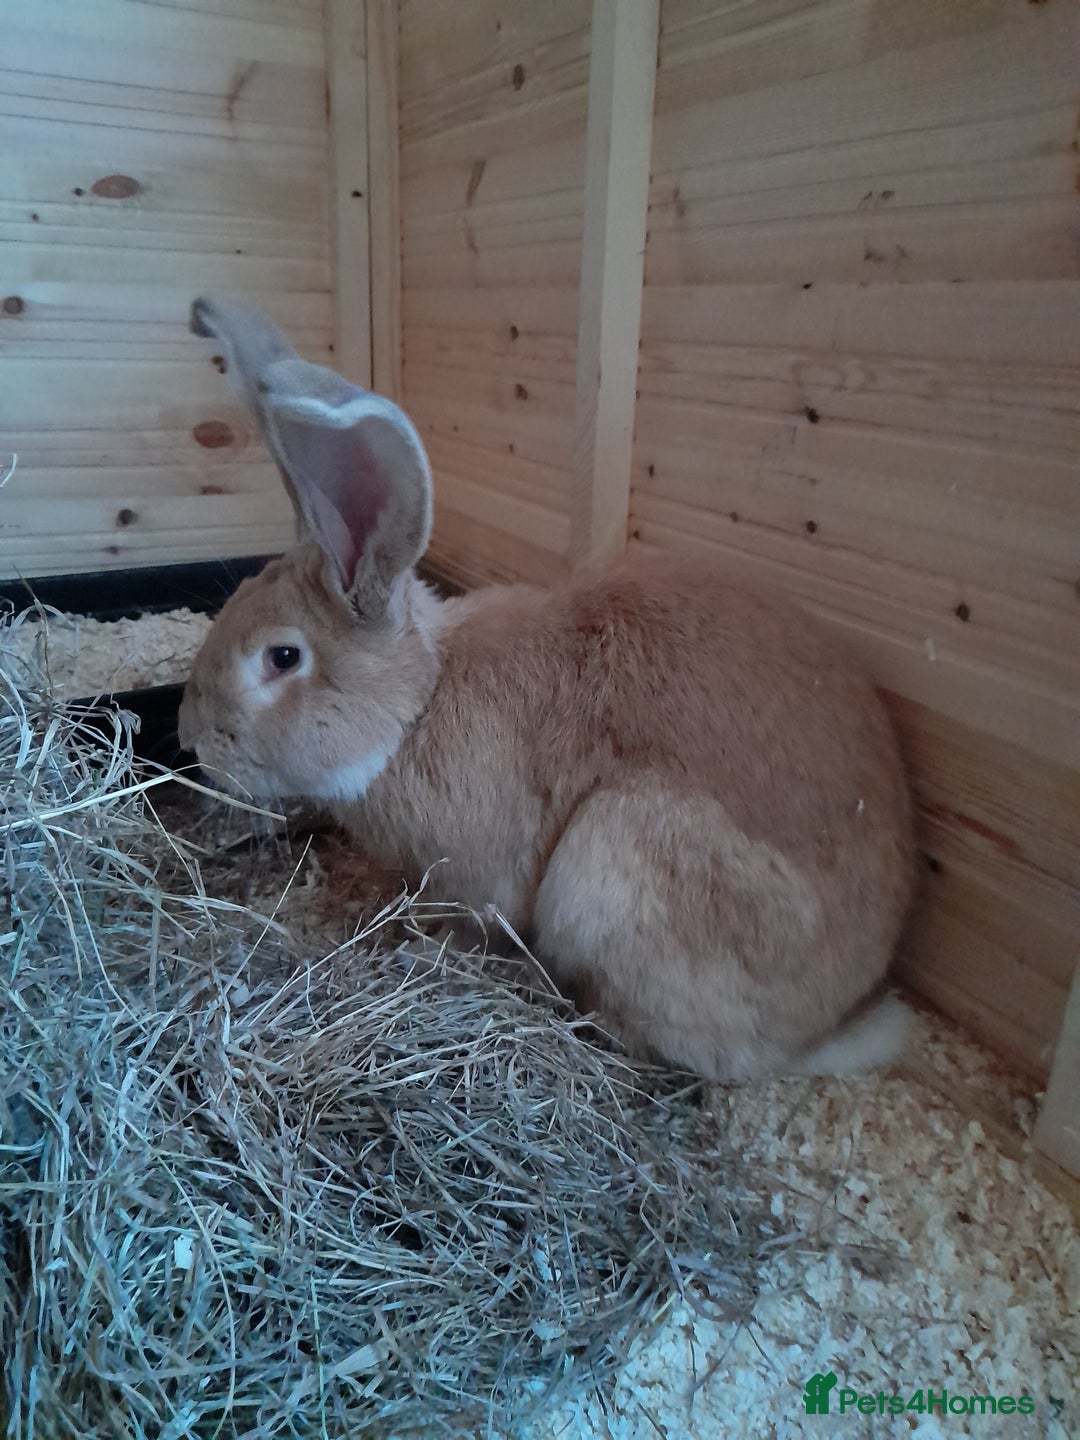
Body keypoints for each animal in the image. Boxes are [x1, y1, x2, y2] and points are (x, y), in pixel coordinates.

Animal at [178, 295, 916, 1082]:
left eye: (282, 657)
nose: (192, 739)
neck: (417, 705)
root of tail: (830, 1020)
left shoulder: (484, 880)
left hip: (617, 861)